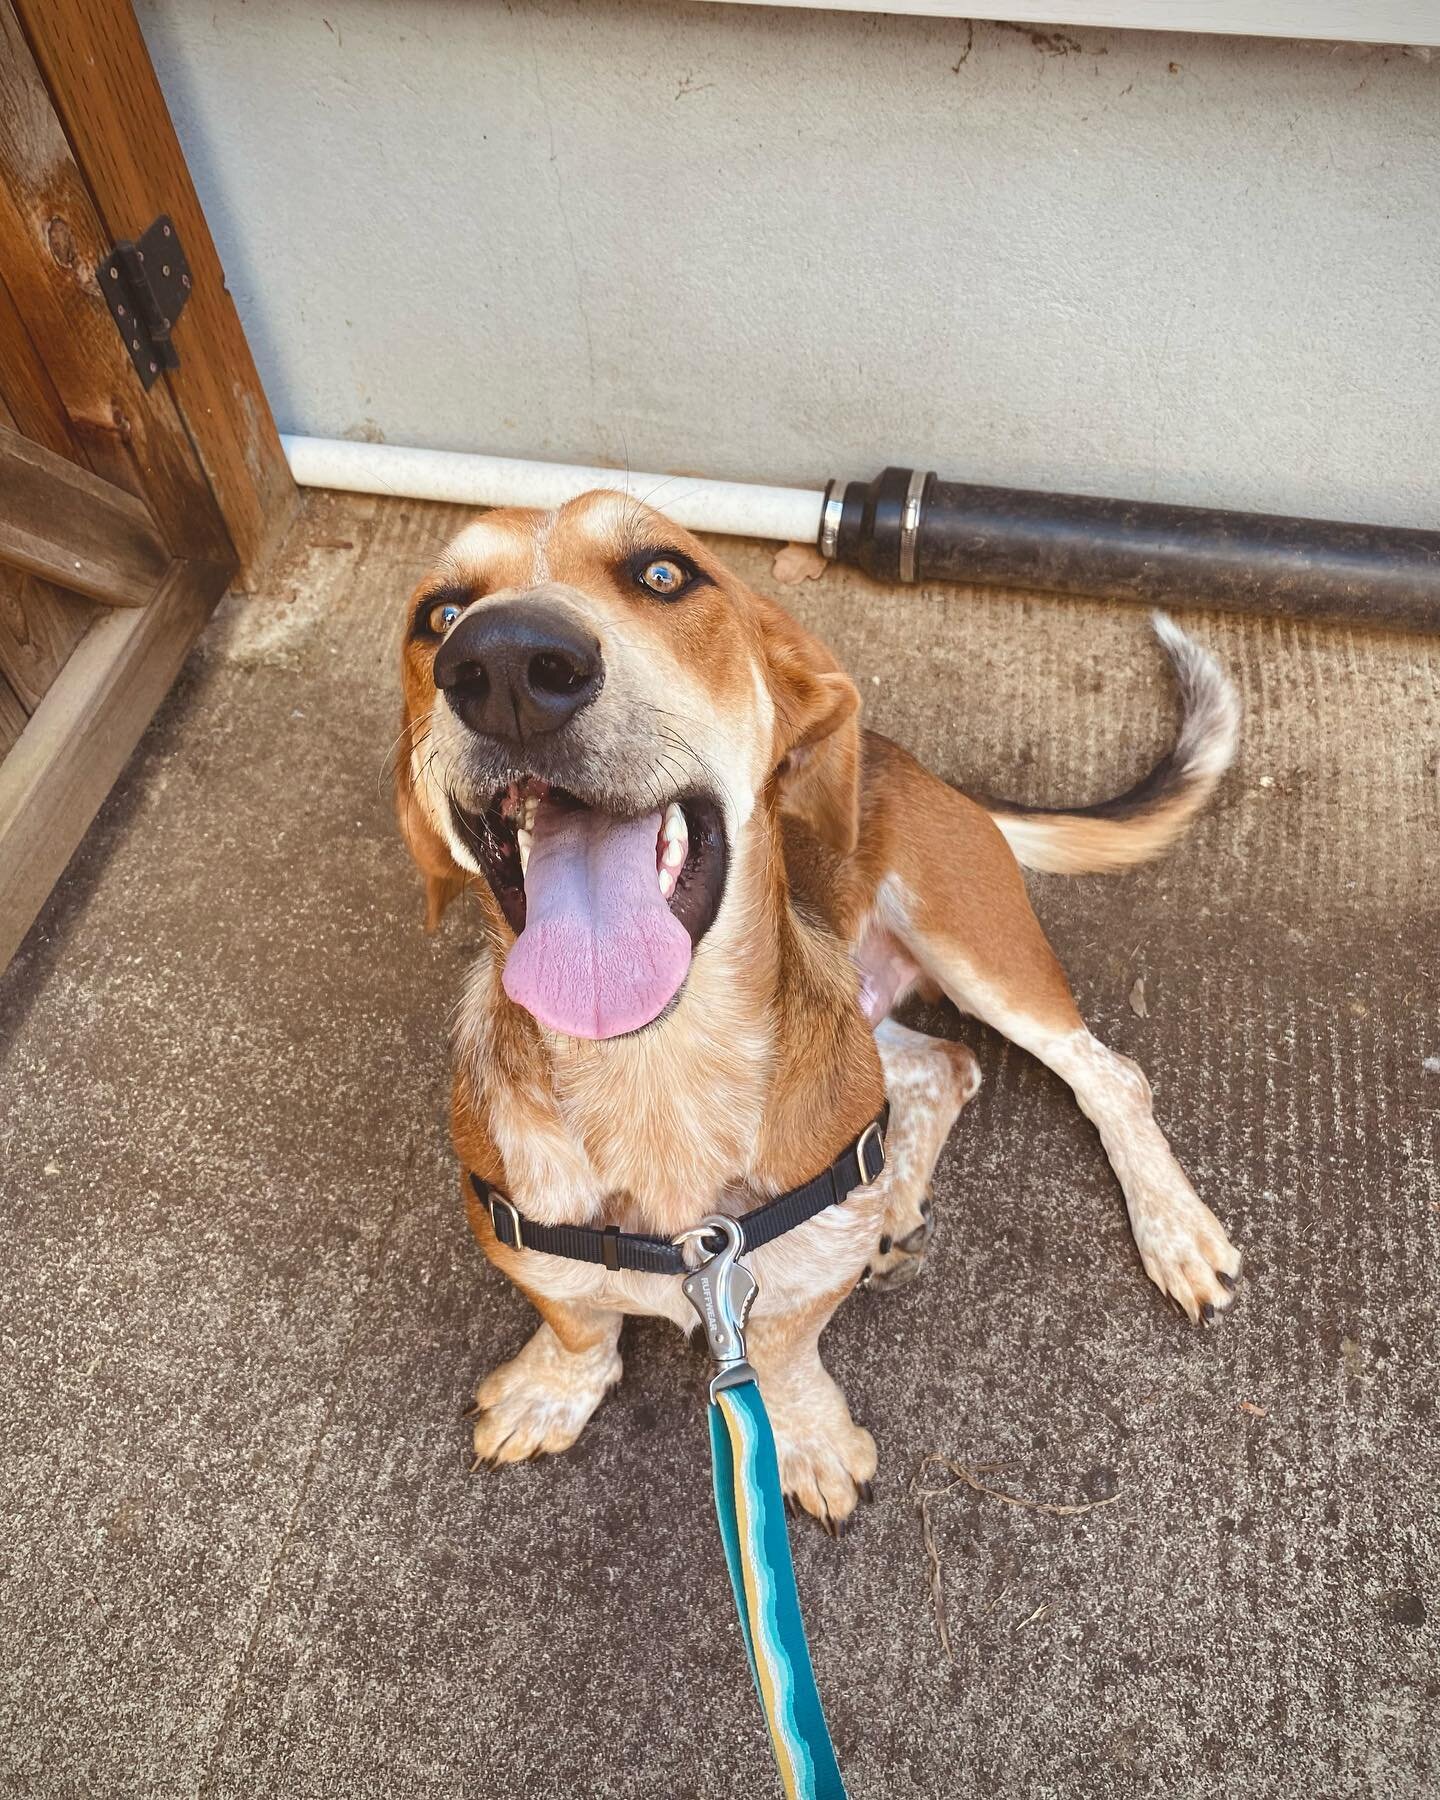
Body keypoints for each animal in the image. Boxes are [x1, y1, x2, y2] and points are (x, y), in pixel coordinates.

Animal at [399, 496, 1245, 1533]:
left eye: (665, 575)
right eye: (438, 615)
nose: (506, 662)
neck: (656, 1076)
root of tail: (915, 764)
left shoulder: (798, 1288)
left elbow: (785, 1349)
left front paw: (805, 1438)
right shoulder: (514, 1231)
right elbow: (579, 1317)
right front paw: (553, 1389)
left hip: (979, 953)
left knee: (1106, 1075)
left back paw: (1173, 1231)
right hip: (870, 1014)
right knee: (945, 1067)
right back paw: (895, 1203)